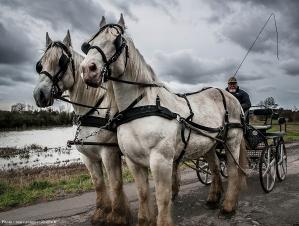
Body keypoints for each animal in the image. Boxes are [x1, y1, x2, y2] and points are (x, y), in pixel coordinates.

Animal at [32, 30, 131, 225]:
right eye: (40, 65)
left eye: (62, 61)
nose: (39, 94)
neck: (92, 111)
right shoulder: (87, 157)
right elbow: (99, 184)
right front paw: (101, 213)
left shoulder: (109, 153)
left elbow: (115, 183)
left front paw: (118, 215)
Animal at [81, 15, 247, 226]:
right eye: (88, 44)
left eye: (117, 41)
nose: (87, 70)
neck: (141, 106)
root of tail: (229, 95)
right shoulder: (133, 161)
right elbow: (143, 194)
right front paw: (144, 221)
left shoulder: (161, 160)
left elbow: (162, 197)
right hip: (209, 145)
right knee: (216, 168)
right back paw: (213, 199)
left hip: (232, 140)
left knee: (233, 171)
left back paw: (228, 207)